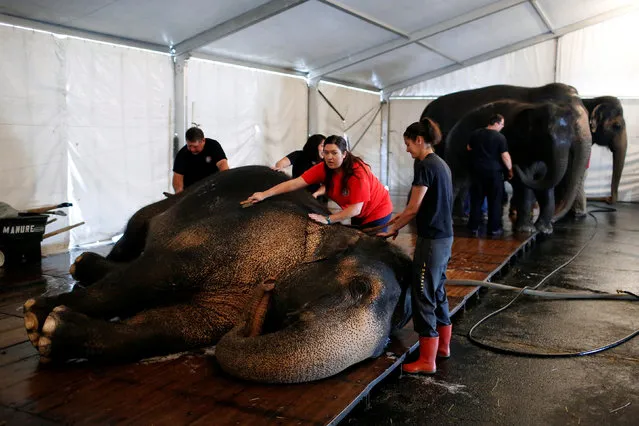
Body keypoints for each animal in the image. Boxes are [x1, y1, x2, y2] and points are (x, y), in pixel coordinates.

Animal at [22, 166, 412, 382]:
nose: (267, 292)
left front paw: (53, 333)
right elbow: (157, 273)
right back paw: (79, 269)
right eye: (360, 287)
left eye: (384, 348)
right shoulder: (239, 235)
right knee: (136, 236)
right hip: (164, 207)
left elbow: (169, 326)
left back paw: (83, 266)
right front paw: (35, 319)